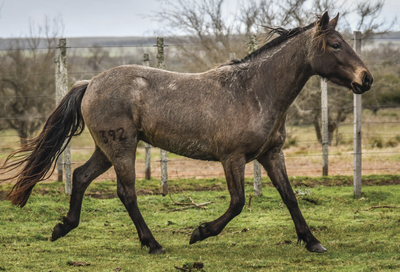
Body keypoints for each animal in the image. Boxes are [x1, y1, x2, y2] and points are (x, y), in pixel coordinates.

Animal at [2, 12, 372, 255]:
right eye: (335, 44)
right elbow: (237, 202)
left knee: (79, 176)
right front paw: (200, 232)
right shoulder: (232, 158)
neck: (254, 90)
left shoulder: (271, 154)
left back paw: (63, 227)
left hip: (105, 149)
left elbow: (290, 196)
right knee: (126, 192)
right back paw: (153, 244)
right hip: (121, 148)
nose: (366, 79)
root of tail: (90, 82)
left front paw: (313, 241)